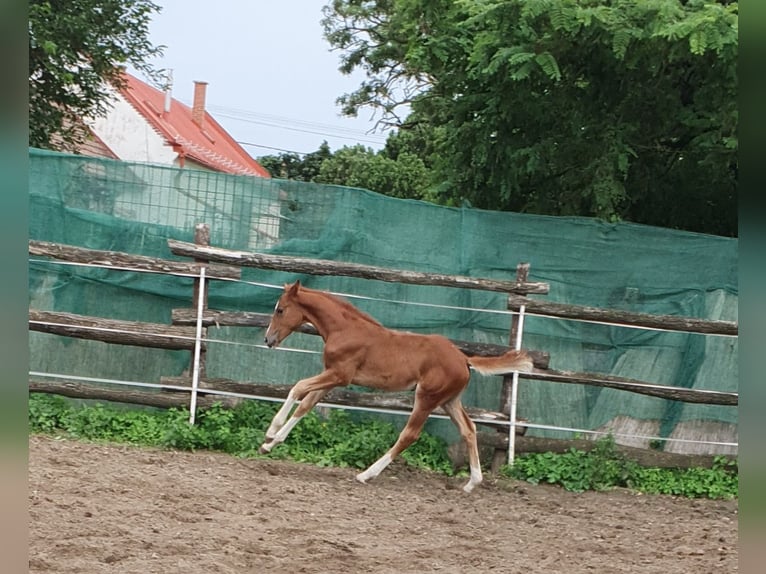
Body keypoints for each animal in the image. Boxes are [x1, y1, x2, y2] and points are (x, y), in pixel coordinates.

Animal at [260, 282, 536, 492]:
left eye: (280, 310)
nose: (268, 339)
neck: (345, 329)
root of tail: (464, 359)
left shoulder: (340, 375)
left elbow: (297, 388)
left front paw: (270, 431)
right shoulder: (332, 377)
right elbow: (305, 406)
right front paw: (269, 445)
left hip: (426, 397)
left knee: (409, 435)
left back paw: (366, 474)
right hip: (449, 401)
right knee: (469, 430)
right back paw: (471, 483)